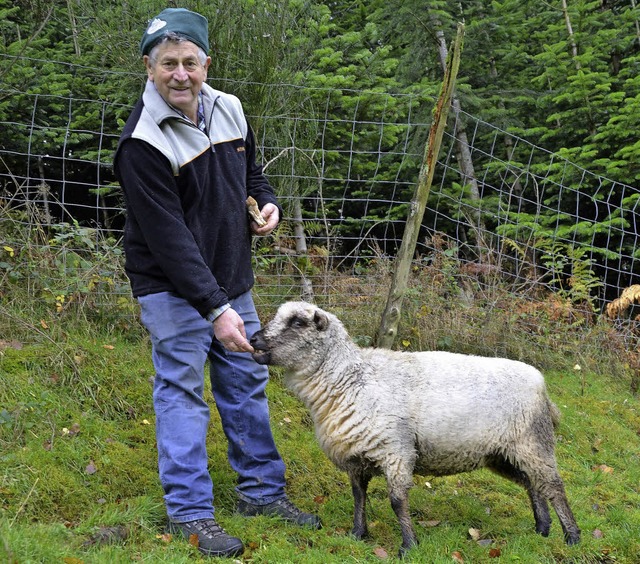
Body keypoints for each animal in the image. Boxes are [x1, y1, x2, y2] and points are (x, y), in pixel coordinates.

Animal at [250, 302, 580, 556]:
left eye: (297, 322)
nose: (253, 339)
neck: (349, 379)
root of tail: (542, 386)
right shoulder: (356, 457)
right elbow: (358, 496)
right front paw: (358, 534)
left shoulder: (396, 451)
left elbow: (397, 501)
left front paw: (408, 546)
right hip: (502, 453)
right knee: (533, 484)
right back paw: (542, 528)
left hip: (532, 442)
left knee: (554, 486)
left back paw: (571, 537)